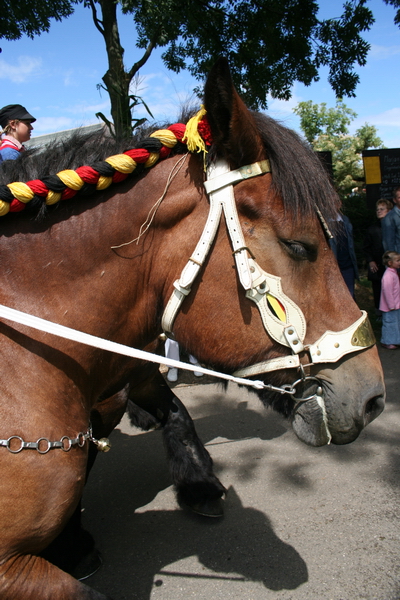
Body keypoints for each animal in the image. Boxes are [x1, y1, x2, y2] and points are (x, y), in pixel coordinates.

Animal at [0, 57, 384, 600]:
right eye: (299, 246)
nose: (374, 399)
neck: (25, 356)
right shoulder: (11, 565)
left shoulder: (128, 376)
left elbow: (176, 412)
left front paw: (197, 485)